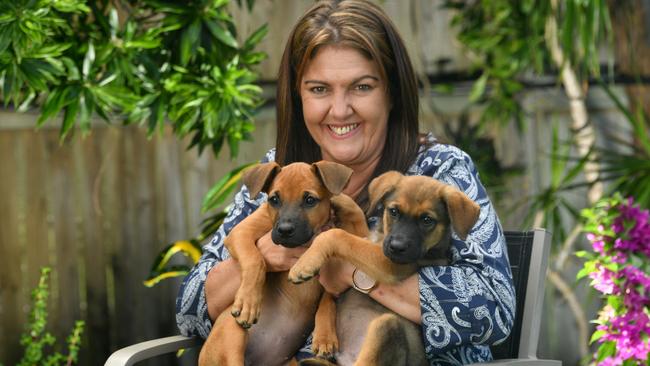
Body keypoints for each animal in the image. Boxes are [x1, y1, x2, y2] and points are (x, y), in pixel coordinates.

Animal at [197, 162, 368, 366]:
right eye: (274, 199)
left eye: (310, 200)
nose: (285, 230)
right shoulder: (240, 233)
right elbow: (255, 260)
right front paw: (248, 301)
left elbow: (327, 300)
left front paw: (324, 337)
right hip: (232, 335)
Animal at [286, 172, 478, 366]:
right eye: (393, 211)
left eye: (427, 220)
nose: (396, 247)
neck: (380, 238)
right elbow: (326, 300)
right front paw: (324, 338)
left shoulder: (388, 264)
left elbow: (338, 235)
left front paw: (304, 264)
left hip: (386, 324)